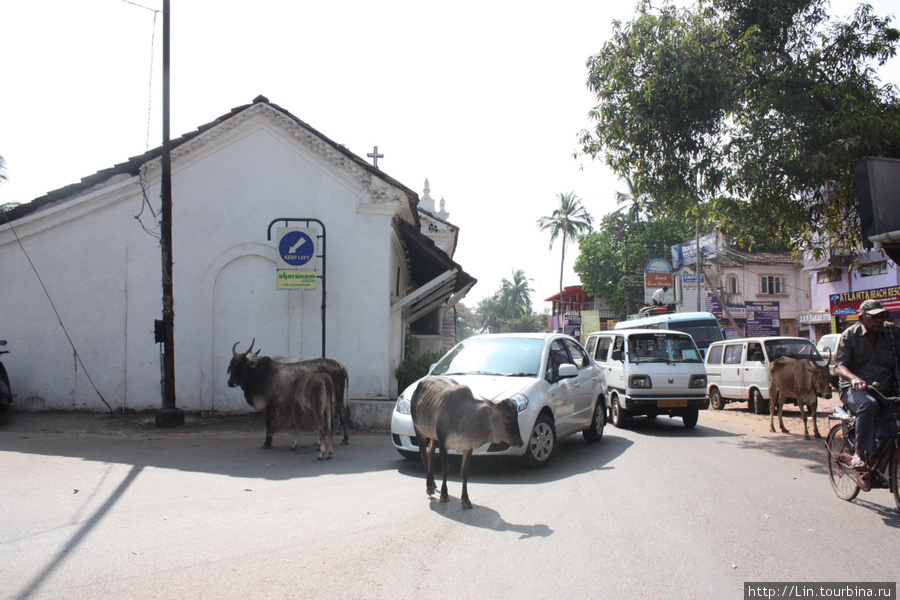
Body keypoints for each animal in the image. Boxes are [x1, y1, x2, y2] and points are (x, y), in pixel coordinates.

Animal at [408, 378, 520, 508]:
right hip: (418, 429)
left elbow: (464, 471)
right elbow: (445, 468)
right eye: (508, 416)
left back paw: (433, 481)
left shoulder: (468, 446)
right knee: (423, 454)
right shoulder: (443, 443)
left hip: (432, 434)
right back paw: (429, 486)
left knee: (430, 451)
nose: (520, 441)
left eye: (517, 415)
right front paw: (444, 495)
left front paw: (466, 499)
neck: (465, 416)